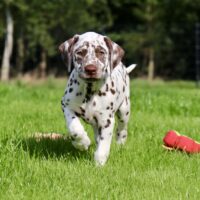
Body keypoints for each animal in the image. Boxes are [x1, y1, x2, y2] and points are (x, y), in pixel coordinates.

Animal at [57, 31, 136, 166]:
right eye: (80, 52)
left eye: (101, 52)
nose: (90, 69)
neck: (90, 90)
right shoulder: (67, 106)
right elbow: (74, 128)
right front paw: (81, 142)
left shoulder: (106, 120)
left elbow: (104, 144)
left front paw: (99, 162)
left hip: (124, 111)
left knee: (122, 129)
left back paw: (120, 144)